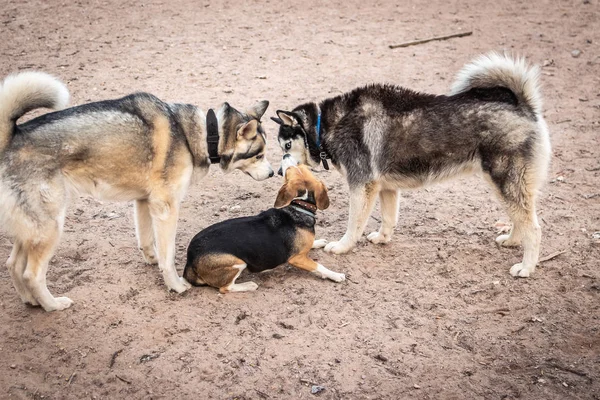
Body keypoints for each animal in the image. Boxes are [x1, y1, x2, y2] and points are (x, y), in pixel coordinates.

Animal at [0, 72, 274, 310]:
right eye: (259, 155)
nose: (273, 173)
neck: (202, 134)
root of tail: (10, 137)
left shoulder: (144, 201)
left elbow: (146, 240)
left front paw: (152, 260)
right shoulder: (166, 207)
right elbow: (168, 255)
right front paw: (175, 285)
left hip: (33, 230)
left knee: (13, 265)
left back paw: (31, 302)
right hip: (50, 226)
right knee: (31, 274)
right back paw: (52, 305)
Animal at [183, 156, 344, 294]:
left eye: (301, 166)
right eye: (289, 170)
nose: (286, 155)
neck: (299, 206)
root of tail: (190, 260)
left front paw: (319, 242)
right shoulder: (297, 259)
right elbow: (320, 267)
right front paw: (335, 275)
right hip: (237, 262)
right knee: (225, 288)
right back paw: (249, 285)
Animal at [274, 52, 552, 278]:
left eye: (286, 146)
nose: (277, 172)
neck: (327, 124)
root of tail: (523, 106)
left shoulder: (362, 186)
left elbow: (354, 224)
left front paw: (342, 246)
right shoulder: (385, 187)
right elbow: (388, 218)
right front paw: (383, 238)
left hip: (505, 182)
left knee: (534, 228)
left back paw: (526, 267)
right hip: (505, 186)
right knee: (521, 220)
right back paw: (512, 241)